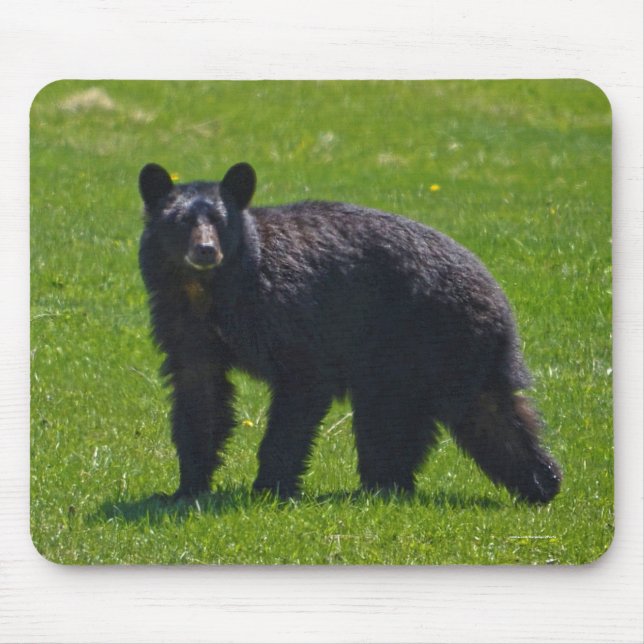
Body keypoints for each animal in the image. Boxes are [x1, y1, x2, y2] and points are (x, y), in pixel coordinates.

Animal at [137, 161, 562, 504]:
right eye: (180, 222)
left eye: (220, 222)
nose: (205, 251)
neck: (211, 289)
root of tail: (496, 292)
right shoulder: (183, 323)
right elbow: (200, 393)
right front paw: (186, 487)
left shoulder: (290, 310)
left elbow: (302, 386)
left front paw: (269, 487)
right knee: (474, 413)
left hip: (434, 336)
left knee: (436, 411)